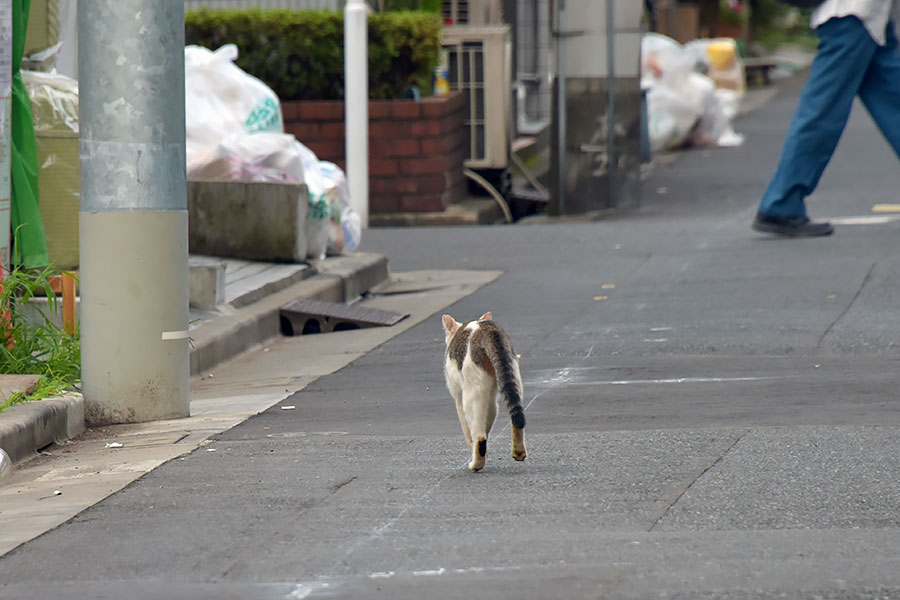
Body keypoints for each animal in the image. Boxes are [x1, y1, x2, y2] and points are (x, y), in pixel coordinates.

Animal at [442, 312, 528, 472]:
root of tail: (487, 330)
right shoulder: (491, 400)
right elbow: (488, 420)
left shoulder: (458, 397)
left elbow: (468, 431)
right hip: (513, 377)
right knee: (516, 420)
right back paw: (518, 452)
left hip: (472, 392)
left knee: (479, 435)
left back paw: (476, 464)